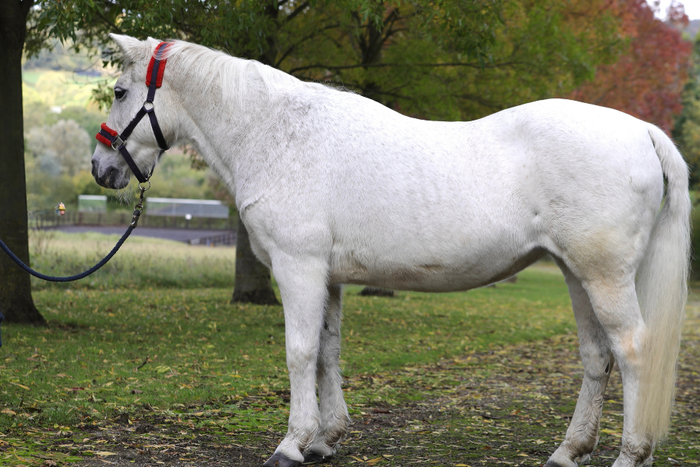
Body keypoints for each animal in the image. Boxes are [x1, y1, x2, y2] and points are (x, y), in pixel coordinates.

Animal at [91, 34, 690, 467]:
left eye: (119, 92)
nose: (102, 168)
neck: (274, 131)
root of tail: (640, 130)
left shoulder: (297, 267)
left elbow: (299, 353)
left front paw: (290, 445)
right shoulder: (328, 277)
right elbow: (327, 353)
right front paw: (324, 440)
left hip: (604, 274)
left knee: (632, 350)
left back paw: (630, 454)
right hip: (574, 270)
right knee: (596, 357)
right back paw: (568, 451)